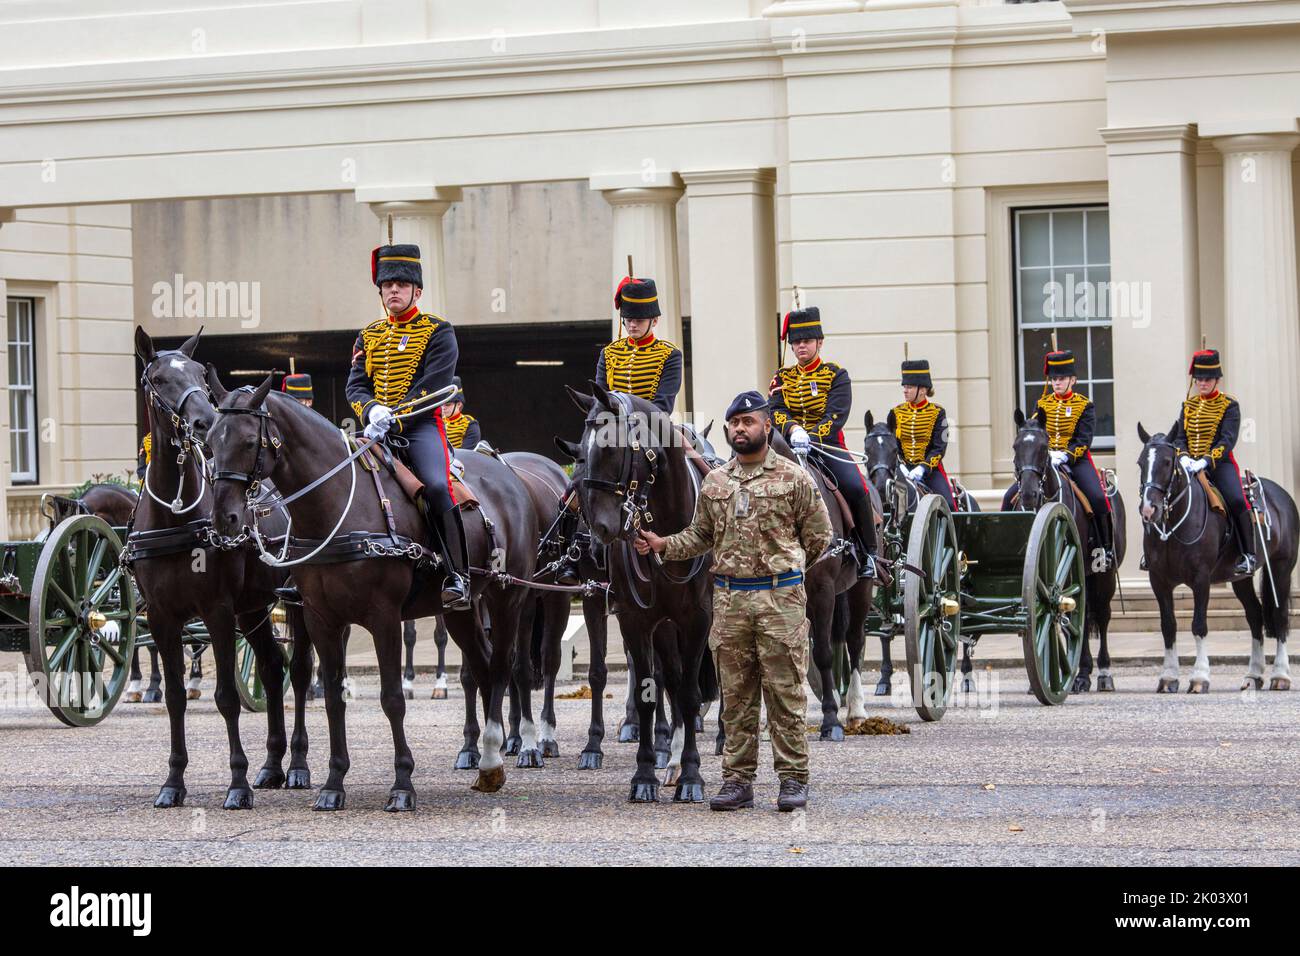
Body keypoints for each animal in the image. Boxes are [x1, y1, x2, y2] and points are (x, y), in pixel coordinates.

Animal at [204, 369, 538, 811]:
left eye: (246, 441)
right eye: (209, 441)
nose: (224, 518)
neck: (335, 508)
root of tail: (510, 475)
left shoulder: (384, 618)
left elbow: (392, 698)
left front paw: (402, 786)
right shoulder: (321, 618)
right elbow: (331, 696)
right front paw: (333, 784)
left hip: (506, 598)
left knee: (501, 667)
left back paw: (495, 750)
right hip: (461, 610)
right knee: (482, 666)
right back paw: (489, 761)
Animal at [863, 411, 977, 697]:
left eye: (894, 449)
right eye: (867, 450)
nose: (880, 487)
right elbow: (883, 628)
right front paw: (884, 678)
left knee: (965, 620)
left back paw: (967, 674)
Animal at [1008, 408, 1123, 691]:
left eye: (1043, 447)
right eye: (1016, 446)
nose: (1028, 494)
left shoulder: (1068, 568)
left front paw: (1079, 674)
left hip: (1102, 574)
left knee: (1101, 614)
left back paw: (1100, 672)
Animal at [1133, 426, 1294, 697]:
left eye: (1167, 462)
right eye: (1140, 463)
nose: (1148, 509)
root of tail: (1281, 495)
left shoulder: (1201, 578)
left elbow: (1199, 625)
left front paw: (1199, 677)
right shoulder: (1158, 580)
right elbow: (1168, 625)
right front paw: (1169, 677)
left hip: (1281, 569)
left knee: (1280, 615)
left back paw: (1280, 675)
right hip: (1240, 578)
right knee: (1255, 616)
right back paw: (1253, 675)